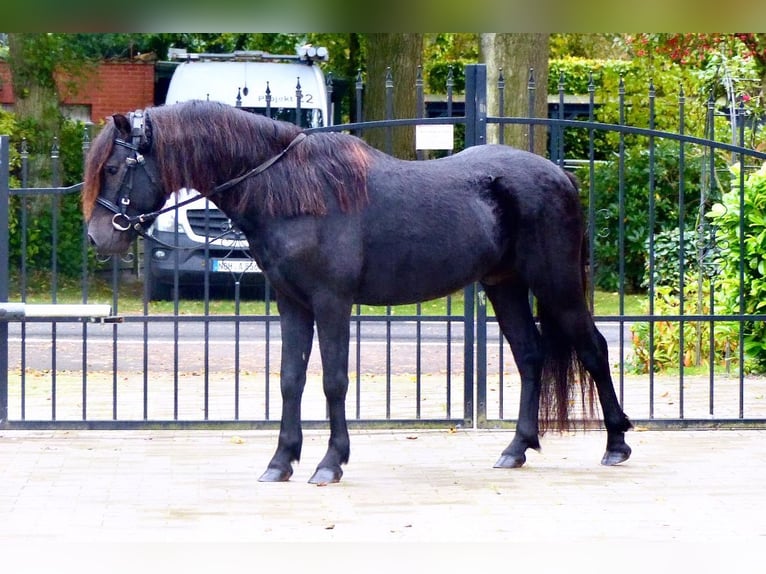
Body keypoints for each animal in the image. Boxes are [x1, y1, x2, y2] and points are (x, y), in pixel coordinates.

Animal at [85, 101, 636, 484]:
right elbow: (290, 379)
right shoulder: (292, 304)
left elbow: (332, 381)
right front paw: (281, 462)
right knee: (529, 356)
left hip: (557, 286)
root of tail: (560, 174)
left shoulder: (332, 303)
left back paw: (616, 444)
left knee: (593, 349)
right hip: (506, 288)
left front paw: (330, 463)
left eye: (113, 168)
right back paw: (515, 449)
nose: (97, 237)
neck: (292, 188)